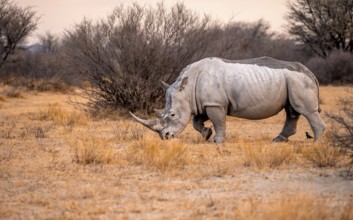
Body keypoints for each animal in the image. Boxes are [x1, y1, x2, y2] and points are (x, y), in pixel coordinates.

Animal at [131, 56, 326, 143]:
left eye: (171, 115)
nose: (165, 137)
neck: (187, 87)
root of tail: (310, 72)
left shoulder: (215, 104)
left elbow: (218, 121)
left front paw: (217, 141)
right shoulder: (204, 102)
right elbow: (196, 121)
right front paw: (206, 134)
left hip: (299, 80)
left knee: (305, 111)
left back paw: (316, 143)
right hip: (292, 81)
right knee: (291, 111)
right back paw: (278, 140)